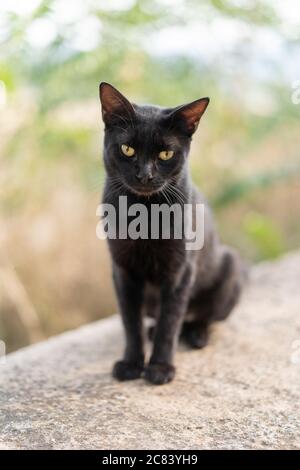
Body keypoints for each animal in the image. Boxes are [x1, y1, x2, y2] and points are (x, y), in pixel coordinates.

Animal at [99, 82, 245, 384]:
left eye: (165, 154)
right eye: (127, 149)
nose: (144, 175)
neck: (144, 214)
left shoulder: (179, 272)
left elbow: (170, 322)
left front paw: (160, 368)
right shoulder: (123, 271)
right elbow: (130, 322)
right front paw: (131, 363)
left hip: (231, 265)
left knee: (198, 317)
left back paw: (196, 334)